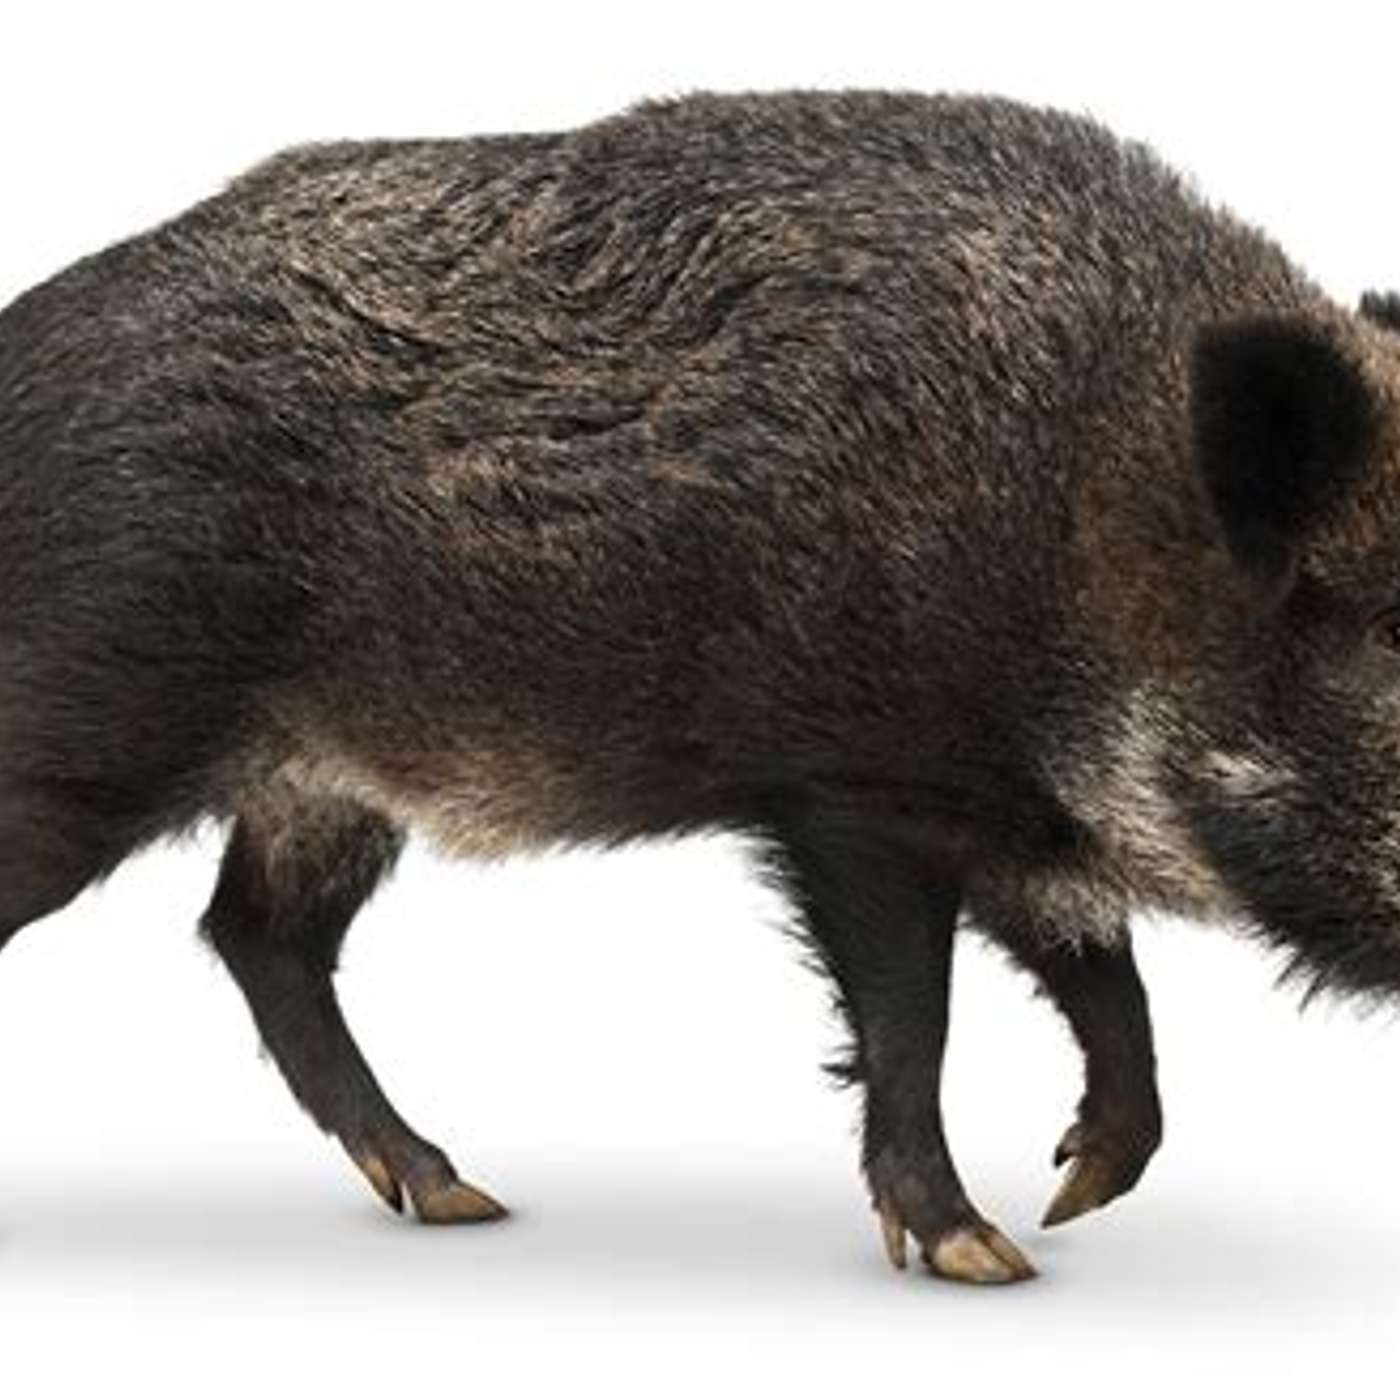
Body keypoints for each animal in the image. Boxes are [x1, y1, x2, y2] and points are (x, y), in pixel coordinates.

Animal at [2, 89, 1398, 1286]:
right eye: (1376, 627)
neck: (1088, 504)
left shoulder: (1013, 815)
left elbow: (1107, 985)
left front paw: (1073, 1195)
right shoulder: (853, 784)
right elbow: (914, 1013)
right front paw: (981, 1253)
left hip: (325, 783)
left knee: (259, 931)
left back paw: (458, 1194)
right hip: (98, 710)